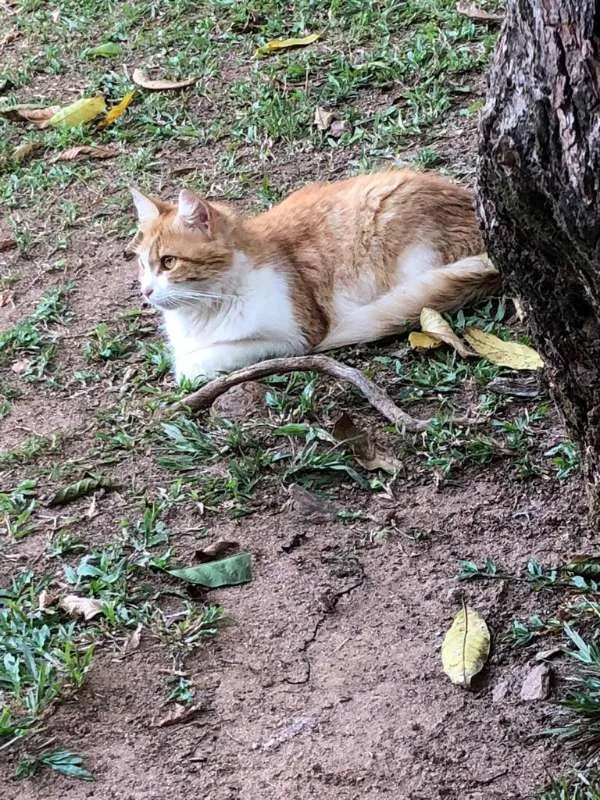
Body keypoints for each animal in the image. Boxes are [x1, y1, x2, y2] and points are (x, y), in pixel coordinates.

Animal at [131, 170, 502, 382]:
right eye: (143, 265)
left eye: (168, 262)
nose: (146, 292)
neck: (204, 310)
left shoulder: (294, 337)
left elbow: (195, 365)